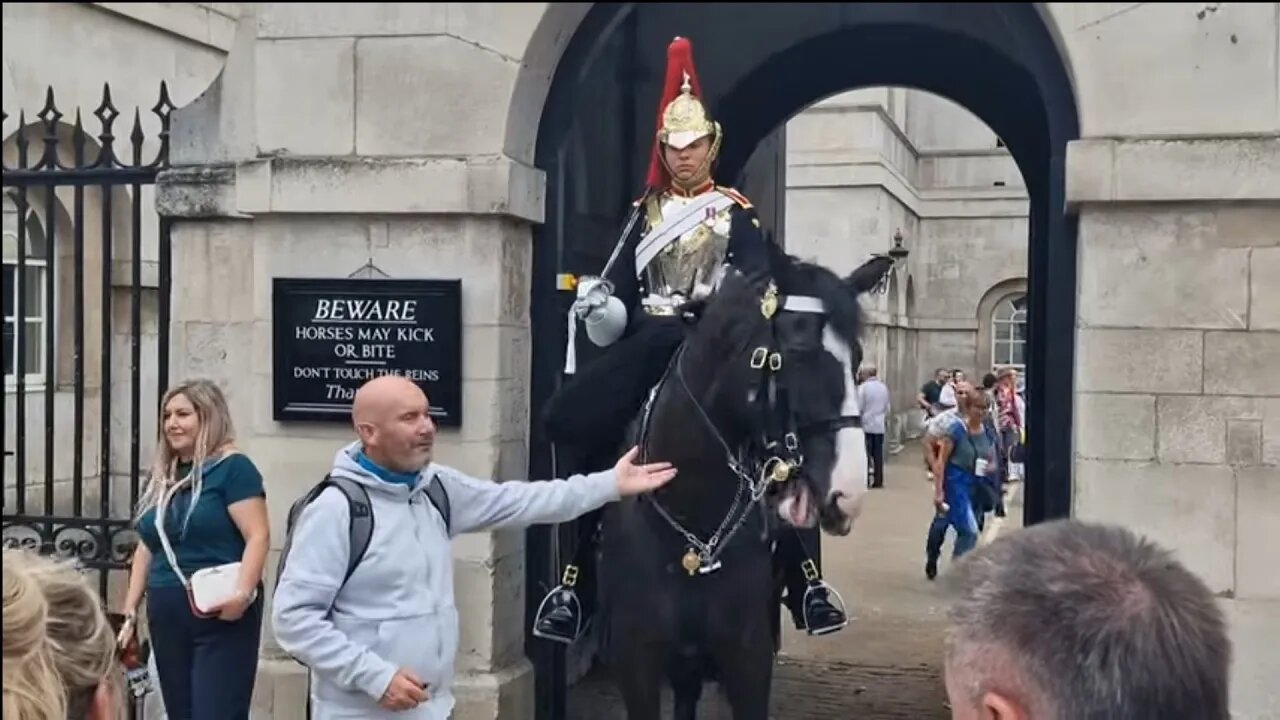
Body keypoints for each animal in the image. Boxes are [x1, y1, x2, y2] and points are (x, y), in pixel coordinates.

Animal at [596, 249, 890, 712]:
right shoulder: (637, 662)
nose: (847, 495)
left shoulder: (747, 657)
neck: (692, 528)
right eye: (798, 350)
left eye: (857, 358)